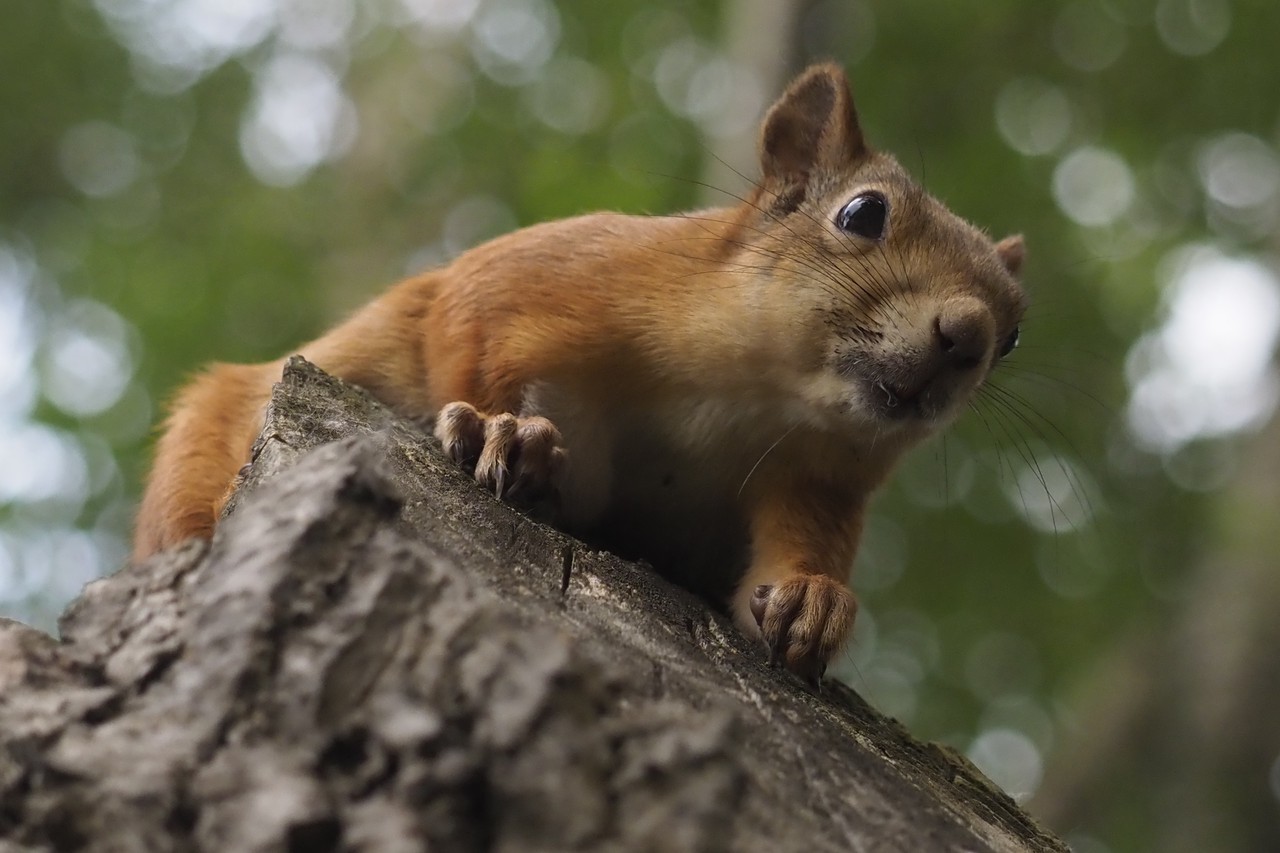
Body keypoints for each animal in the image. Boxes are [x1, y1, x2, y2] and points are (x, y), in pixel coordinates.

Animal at [135, 64, 1024, 676]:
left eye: (1016, 331)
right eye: (863, 213)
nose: (970, 335)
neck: (752, 398)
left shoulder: (818, 479)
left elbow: (791, 557)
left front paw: (814, 596)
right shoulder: (541, 274)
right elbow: (464, 336)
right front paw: (499, 431)